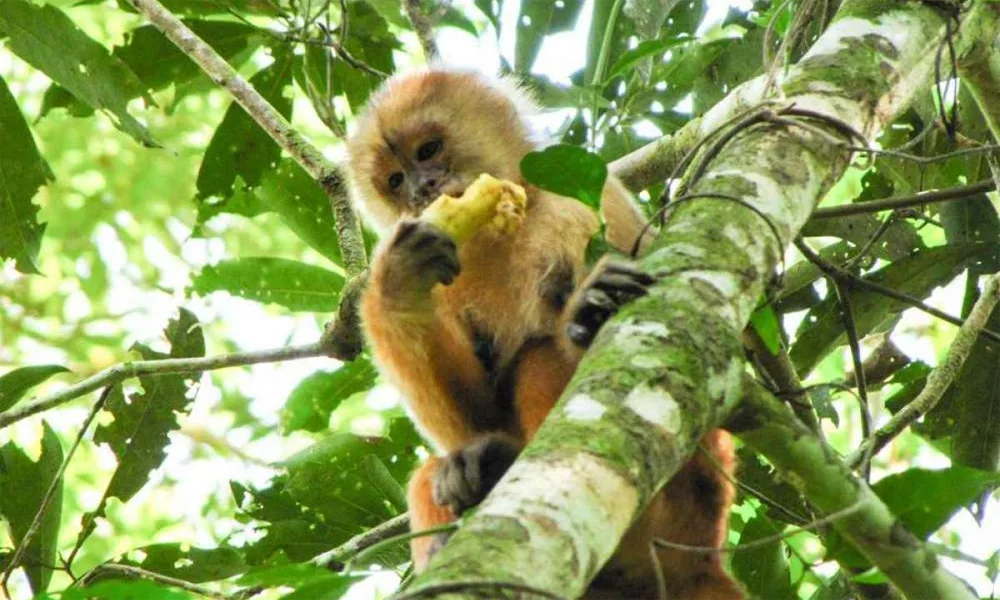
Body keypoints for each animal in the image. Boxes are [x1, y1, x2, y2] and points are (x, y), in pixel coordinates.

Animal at [346, 68, 742, 600]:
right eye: (394, 180)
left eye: (427, 150)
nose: (422, 189)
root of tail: (703, 559)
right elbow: (476, 417)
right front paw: (399, 286)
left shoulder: (586, 196)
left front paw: (590, 309)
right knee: (436, 469)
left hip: (689, 498)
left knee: (541, 358)